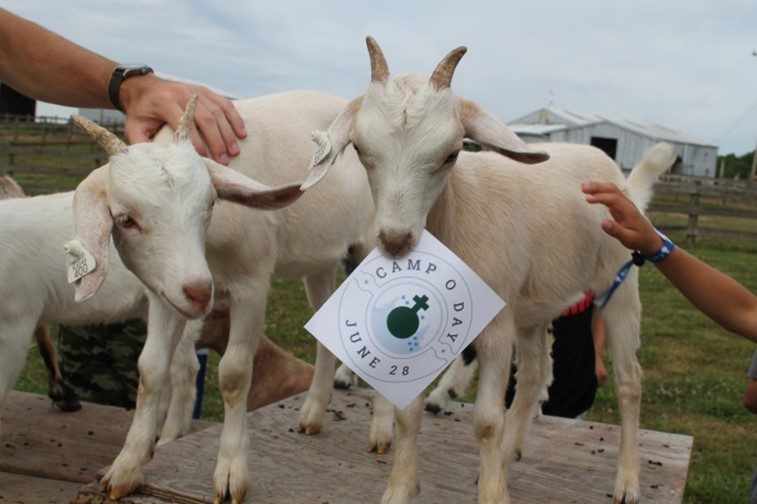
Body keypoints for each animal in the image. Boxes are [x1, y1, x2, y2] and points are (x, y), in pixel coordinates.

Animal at [304, 37, 675, 504]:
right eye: (360, 150)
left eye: (452, 153)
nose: (395, 240)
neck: (458, 212)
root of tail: (619, 177)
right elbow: (408, 414)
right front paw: (402, 487)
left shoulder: (496, 327)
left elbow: (485, 421)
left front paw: (494, 493)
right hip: (533, 306)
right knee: (535, 374)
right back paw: (511, 452)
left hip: (617, 283)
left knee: (629, 380)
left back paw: (626, 480)